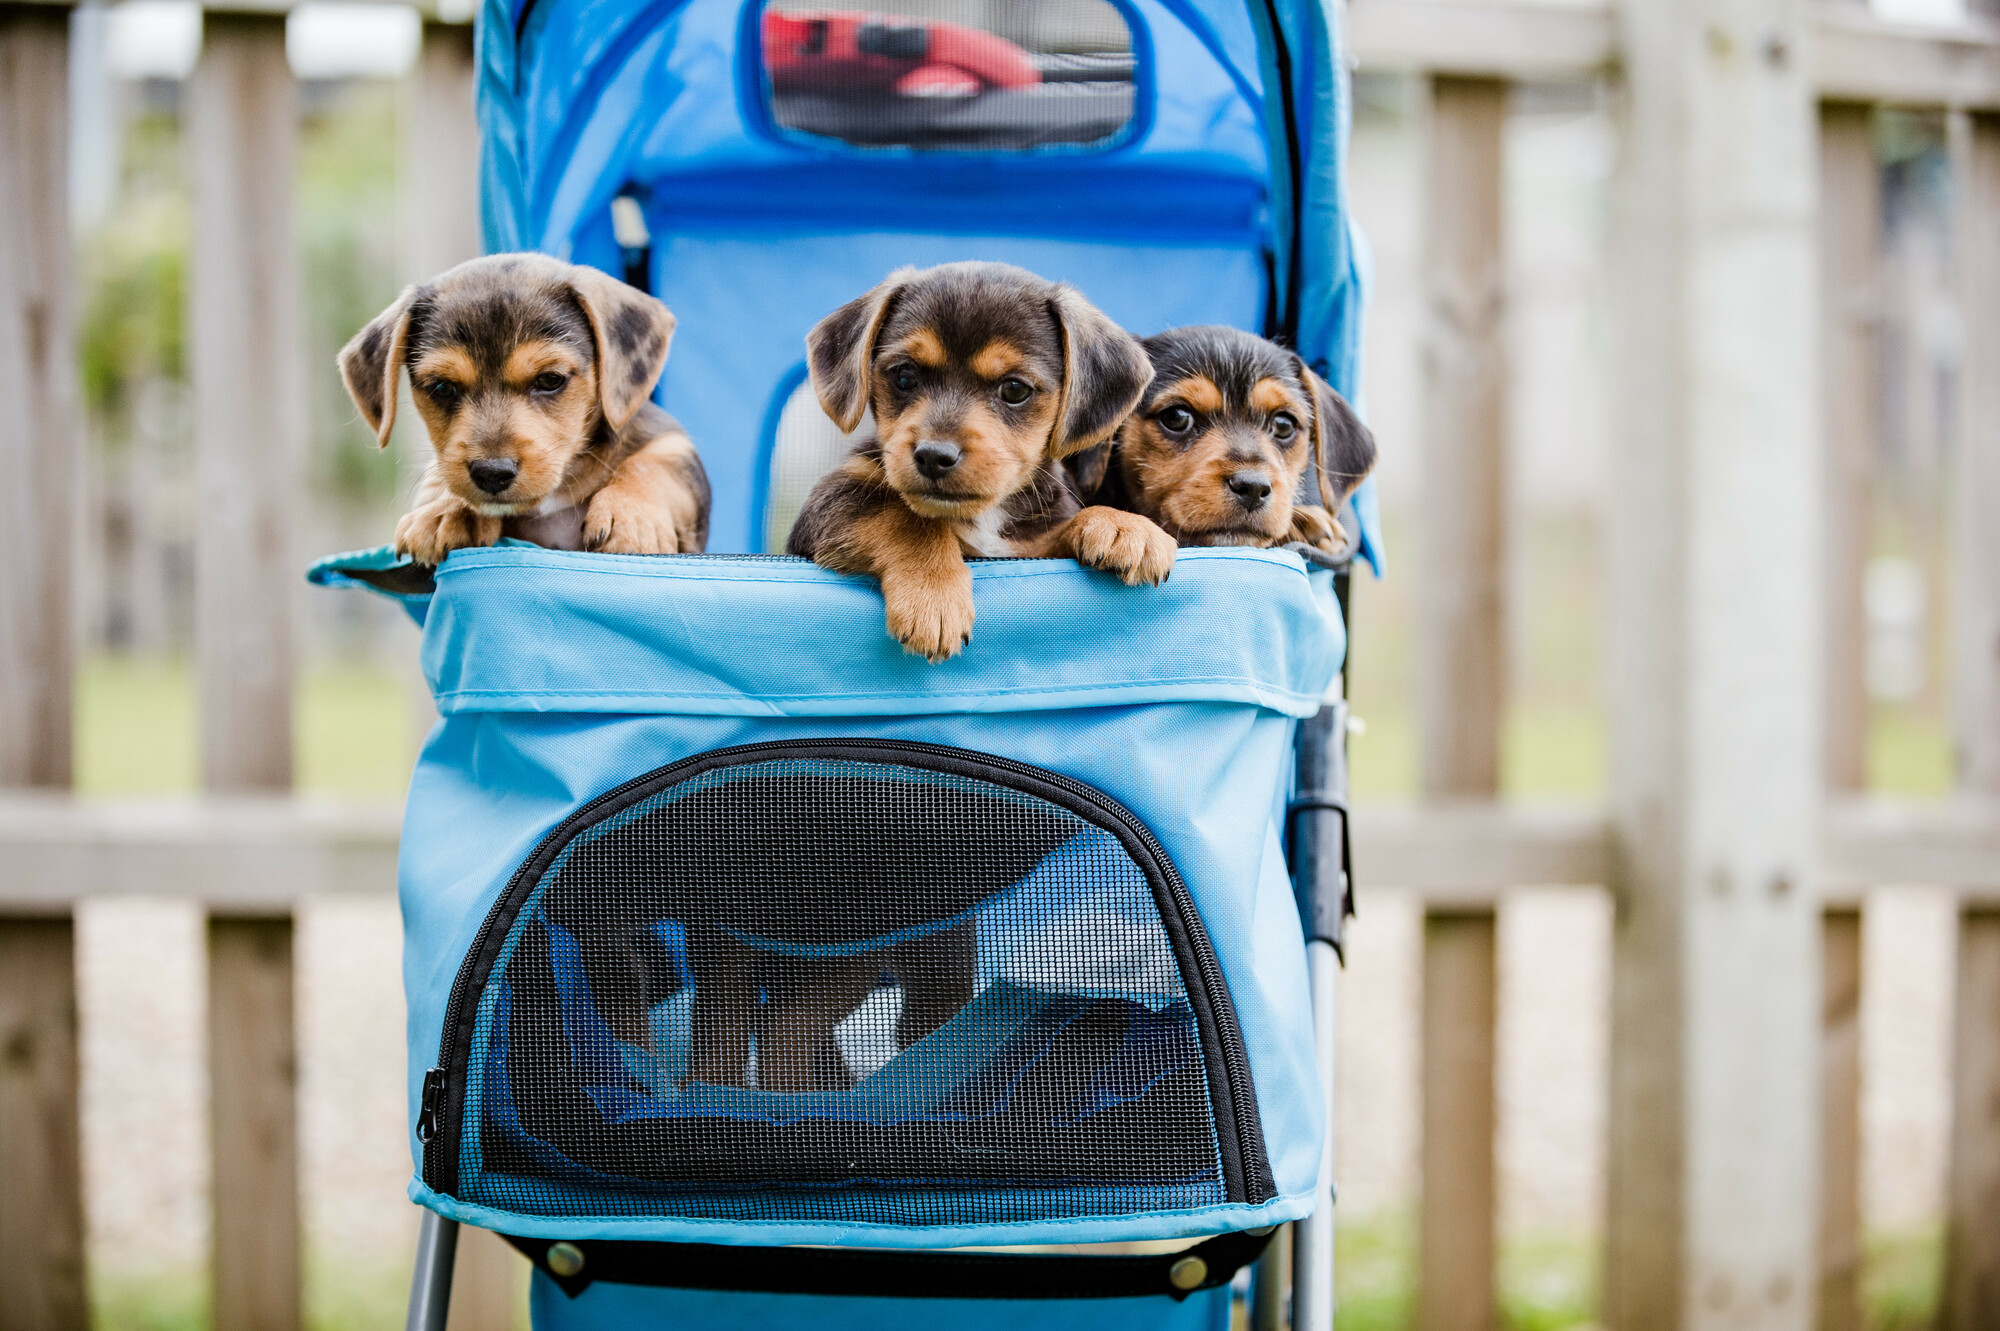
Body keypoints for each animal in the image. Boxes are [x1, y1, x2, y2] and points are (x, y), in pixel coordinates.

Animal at [342, 249, 712, 559]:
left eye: (550, 380)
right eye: (442, 387)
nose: (491, 473)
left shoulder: (672, 441)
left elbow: (652, 466)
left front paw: (631, 516)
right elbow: (442, 473)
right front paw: (444, 510)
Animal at [788, 259, 1176, 659]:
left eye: (1015, 389)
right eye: (905, 376)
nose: (933, 456)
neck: (985, 517)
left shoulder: (1026, 548)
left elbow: (1061, 529)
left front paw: (1122, 526)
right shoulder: (831, 499)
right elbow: (906, 520)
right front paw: (933, 597)